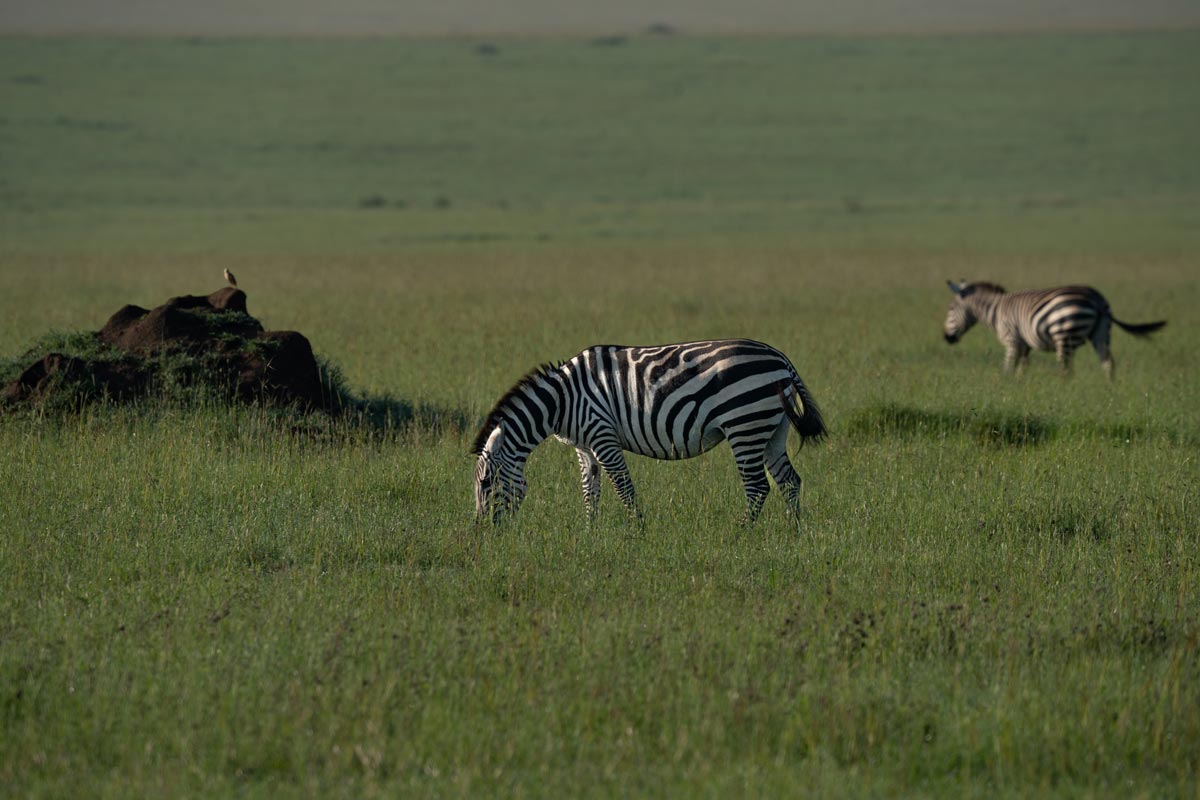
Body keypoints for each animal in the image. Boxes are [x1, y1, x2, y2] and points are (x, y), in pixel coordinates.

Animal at [470, 338, 825, 525]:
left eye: (486, 483)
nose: (481, 531)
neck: (562, 400)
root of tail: (780, 358)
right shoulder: (584, 446)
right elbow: (589, 490)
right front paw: (589, 532)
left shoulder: (602, 435)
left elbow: (623, 488)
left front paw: (637, 532)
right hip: (771, 428)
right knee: (789, 481)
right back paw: (794, 531)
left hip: (745, 425)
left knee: (757, 487)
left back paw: (741, 534)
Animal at [940, 283, 1166, 381]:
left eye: (950, 308)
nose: (946, 338)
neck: (996, 310)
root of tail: (1097, 299)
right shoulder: (1025, 344)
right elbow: (1022, 366)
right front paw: (1017, 384)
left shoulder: (1012, 339)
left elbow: (1008, 366)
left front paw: (1005, 383)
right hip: (1101, 334)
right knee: (1108, 363)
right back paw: (1109, 387)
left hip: (1064, 334)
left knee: (1066, 371)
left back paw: (1063, 390)